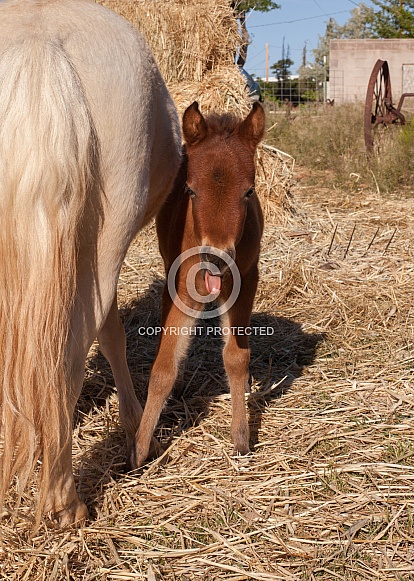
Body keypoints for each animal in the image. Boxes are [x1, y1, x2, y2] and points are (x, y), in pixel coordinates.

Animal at [0, 0, 181, 524]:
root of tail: (38, 41)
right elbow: (112, 335)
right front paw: (135, 424)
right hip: (106, 240)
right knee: (67, 352)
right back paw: (66, 501)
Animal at [132, 102, 266, 468]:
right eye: (190, 190)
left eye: (248, 192)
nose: (216, 257)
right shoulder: (181, 288)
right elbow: (163, 367)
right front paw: (139, 450)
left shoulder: (245, 282)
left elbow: (237, 356)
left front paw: (241, 438)